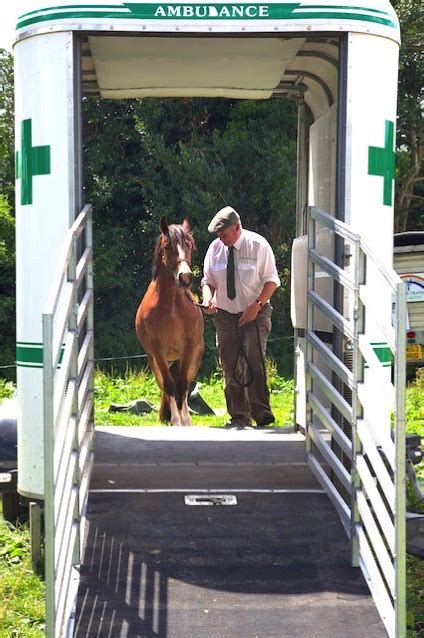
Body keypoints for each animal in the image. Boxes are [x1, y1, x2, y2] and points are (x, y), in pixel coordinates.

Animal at [134, 218, 204, 428]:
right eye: (167, 246)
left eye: (189, 245)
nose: (185, 277)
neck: (171, 306)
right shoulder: (157, 351)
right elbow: (169, 385)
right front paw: (175, 420)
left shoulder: (189, 348)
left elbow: (182, 384)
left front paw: (185, 420)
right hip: (157, 360)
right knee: (165, 385)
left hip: (191, 358)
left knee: (186, 384)